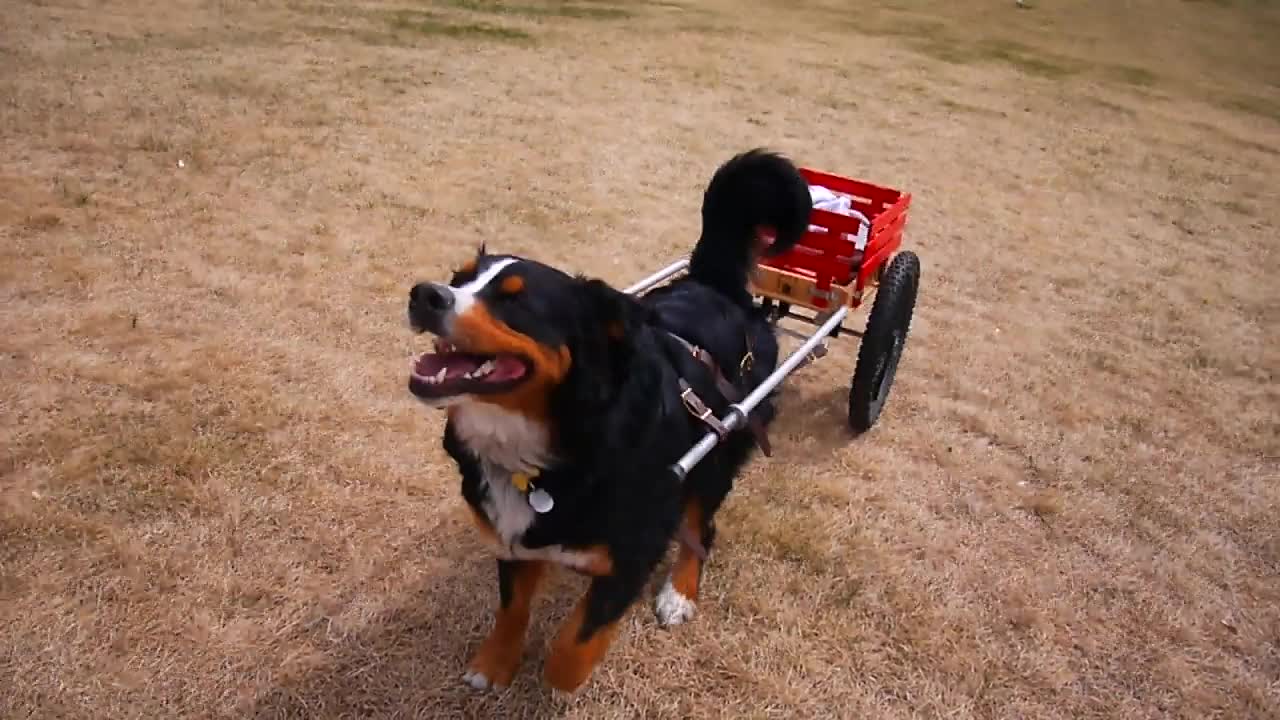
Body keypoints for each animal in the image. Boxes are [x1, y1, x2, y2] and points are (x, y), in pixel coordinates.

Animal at [404, 148, 814, 691]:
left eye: (516, 299)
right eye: (458, 279)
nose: (424, 294)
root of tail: (715, 286)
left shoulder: (636, 548)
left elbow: (573, 647)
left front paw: (558, 672)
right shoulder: (514, 542)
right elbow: (511, 609)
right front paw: (493, 665)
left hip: (718, 452)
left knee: (702, 530)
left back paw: (679, 594)